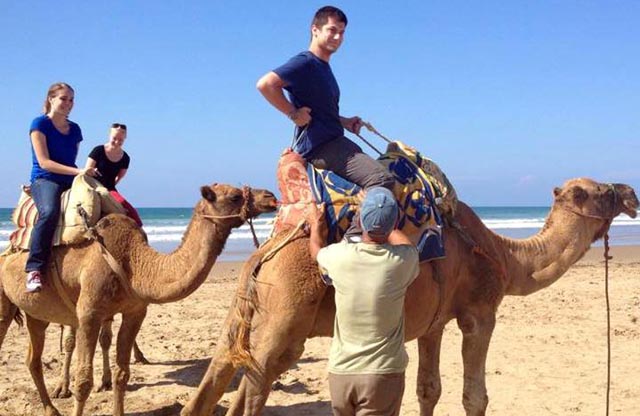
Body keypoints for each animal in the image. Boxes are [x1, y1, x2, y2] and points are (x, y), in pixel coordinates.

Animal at [0, 183, 277, 416]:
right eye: (234, 196)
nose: (270, 197)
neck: (134, 263)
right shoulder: (89, 313)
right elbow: (84, 380)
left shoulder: (135, 311)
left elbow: (122, 373)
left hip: (36, 314)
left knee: (33, 360)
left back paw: (51, 409)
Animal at [181, 178, 638, 416]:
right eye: (600, 191)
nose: (630, 192)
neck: (505, 256)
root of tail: (265, 253)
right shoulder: (479, 313)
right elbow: (475, 396)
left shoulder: (433, 324)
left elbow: (428, 388)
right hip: (284, 315)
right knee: (253, 390)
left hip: (250, 312)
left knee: (217, 374)